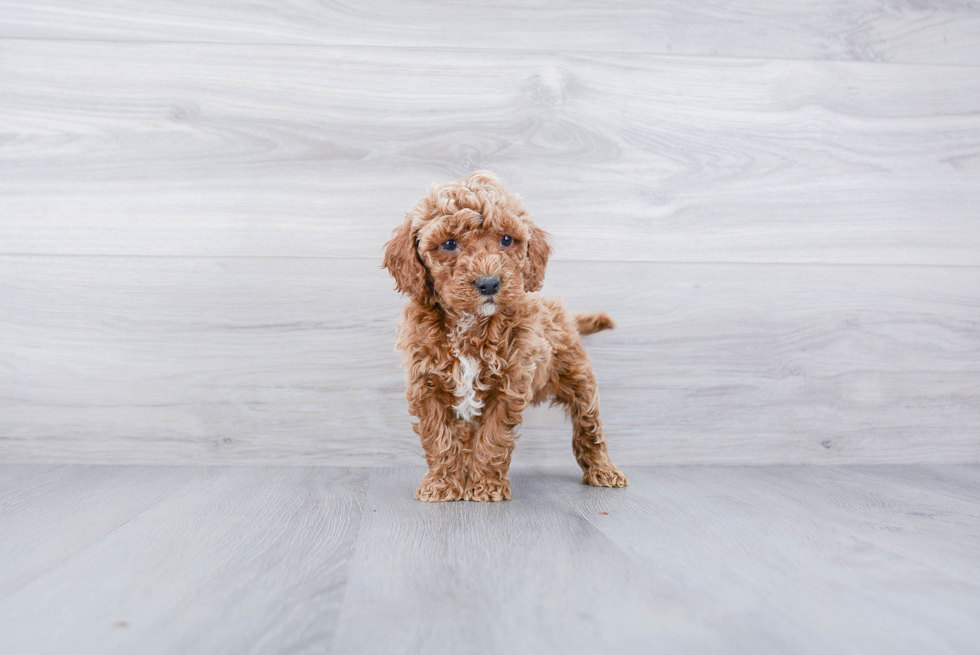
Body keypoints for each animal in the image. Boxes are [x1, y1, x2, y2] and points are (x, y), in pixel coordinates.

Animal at [382, 170, 628, 502]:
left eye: (507, 239)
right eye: (449, 244)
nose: (488, 283)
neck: (470, 323)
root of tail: (561, 312)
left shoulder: (508, 385)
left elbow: (493, 438)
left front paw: (485, 486)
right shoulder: (427, 384)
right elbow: (440, 438)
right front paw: (442, 484)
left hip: (578, 377)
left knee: (589, 425)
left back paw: (603, 469)